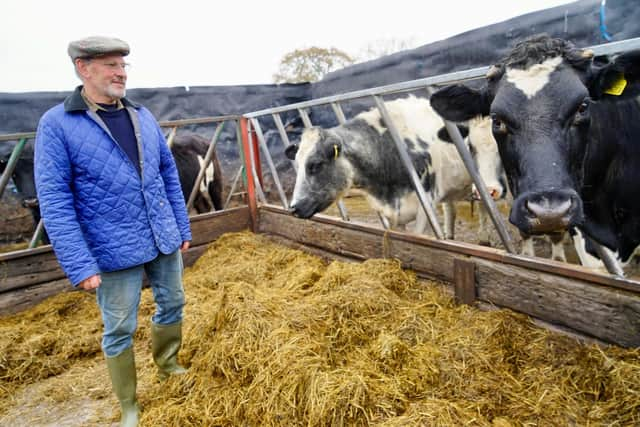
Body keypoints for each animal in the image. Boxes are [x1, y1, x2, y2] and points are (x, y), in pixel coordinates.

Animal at [284, 95, 504, 241]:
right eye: (297, 163)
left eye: (316, 164)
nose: (293, 207)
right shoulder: (391, 211)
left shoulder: (425, 206)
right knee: (451, 208)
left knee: (484, 205)